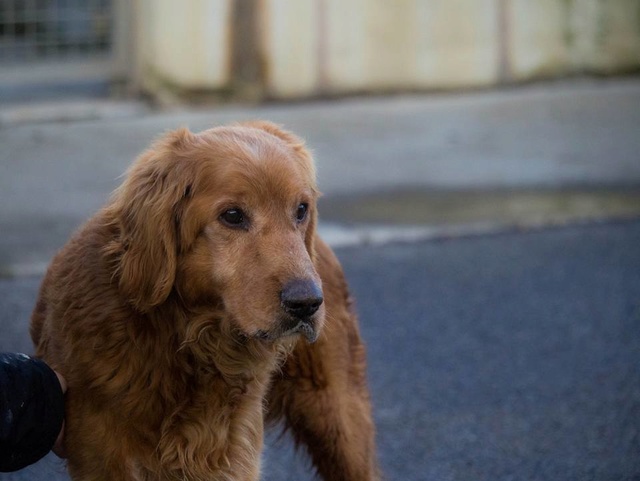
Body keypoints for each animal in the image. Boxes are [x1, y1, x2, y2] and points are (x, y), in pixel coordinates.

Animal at [30, 121, 378, 480]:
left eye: (301, 210)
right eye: (233, 215)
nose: (307, 303)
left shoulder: (236, 454)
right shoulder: (100, 456)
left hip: (340, 423)